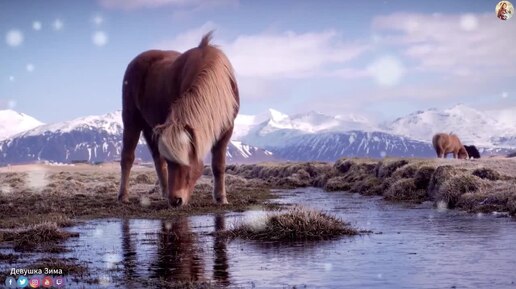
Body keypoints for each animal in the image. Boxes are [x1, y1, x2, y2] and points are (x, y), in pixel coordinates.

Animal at [118, 32, 239, 206]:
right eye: (172, 163)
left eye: (186, 163)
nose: (175, 200)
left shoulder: (226, 129)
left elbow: (218, 165)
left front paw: (221, 198)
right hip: (131, 119)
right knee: (127, 157)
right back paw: (123, 195)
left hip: (151, 127)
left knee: (157, 159)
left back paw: (163, 192)